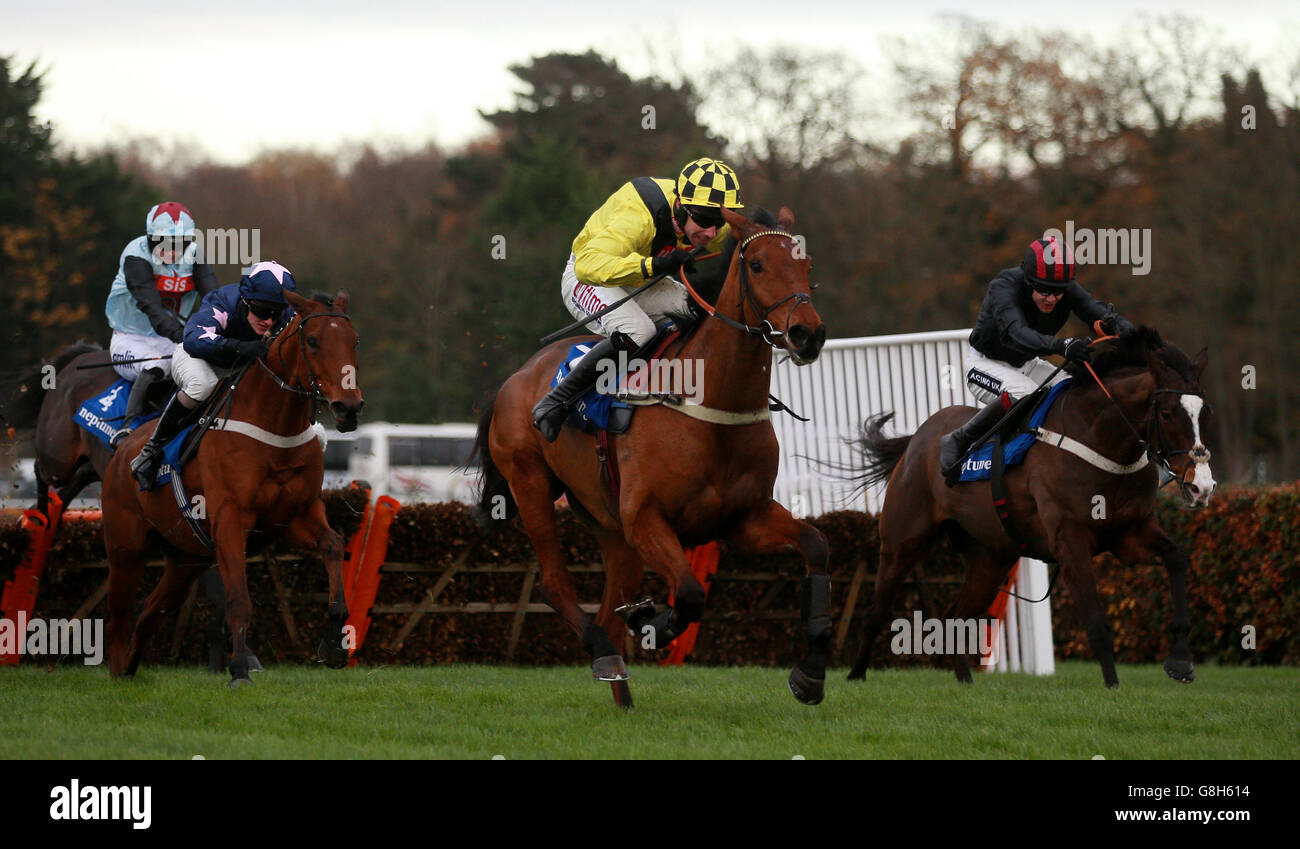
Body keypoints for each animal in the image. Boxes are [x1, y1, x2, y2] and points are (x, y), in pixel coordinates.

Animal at [99, 289, 366, 681]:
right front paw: (239, 669)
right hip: (125, 548)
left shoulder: (297, 514)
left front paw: (334, 642)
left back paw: (131, 666)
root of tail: (123, 446)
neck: (275, 428)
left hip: (184, 560)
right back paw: (119, 671)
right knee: (118, 614)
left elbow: (333, 545)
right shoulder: (230, 518)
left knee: (149, 613)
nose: (348, 407)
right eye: (314, 341)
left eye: (354, 341)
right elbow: (238, 598)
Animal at [478, 206, 832, 707]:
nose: (808, 333)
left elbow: (815, 545)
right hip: (531, 486)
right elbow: (688, 593)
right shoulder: (646, 517)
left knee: (607, 606)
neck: (711, 404)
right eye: (758, 264)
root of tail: (516, 378)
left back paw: (620, 691)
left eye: (808, 264)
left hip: (609, 526)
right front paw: (651, 622)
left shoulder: (744, 519)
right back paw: (605, 653)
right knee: (554, 583)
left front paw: (811, 673)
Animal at [847, 326, 1211, 686]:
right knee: (877, 611)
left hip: (991, 557)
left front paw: (1181, 661)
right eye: (1167, 413)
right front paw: (1113, 687)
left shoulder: (1130, 533)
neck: (1098, 438)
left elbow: (1177, 558)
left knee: (955, 616)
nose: (1202, 486)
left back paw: (965, 681)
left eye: (1203, 413)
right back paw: (855, 674)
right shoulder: (1070, 538)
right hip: (902, 541)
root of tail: (917, 440)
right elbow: (1096, 621)